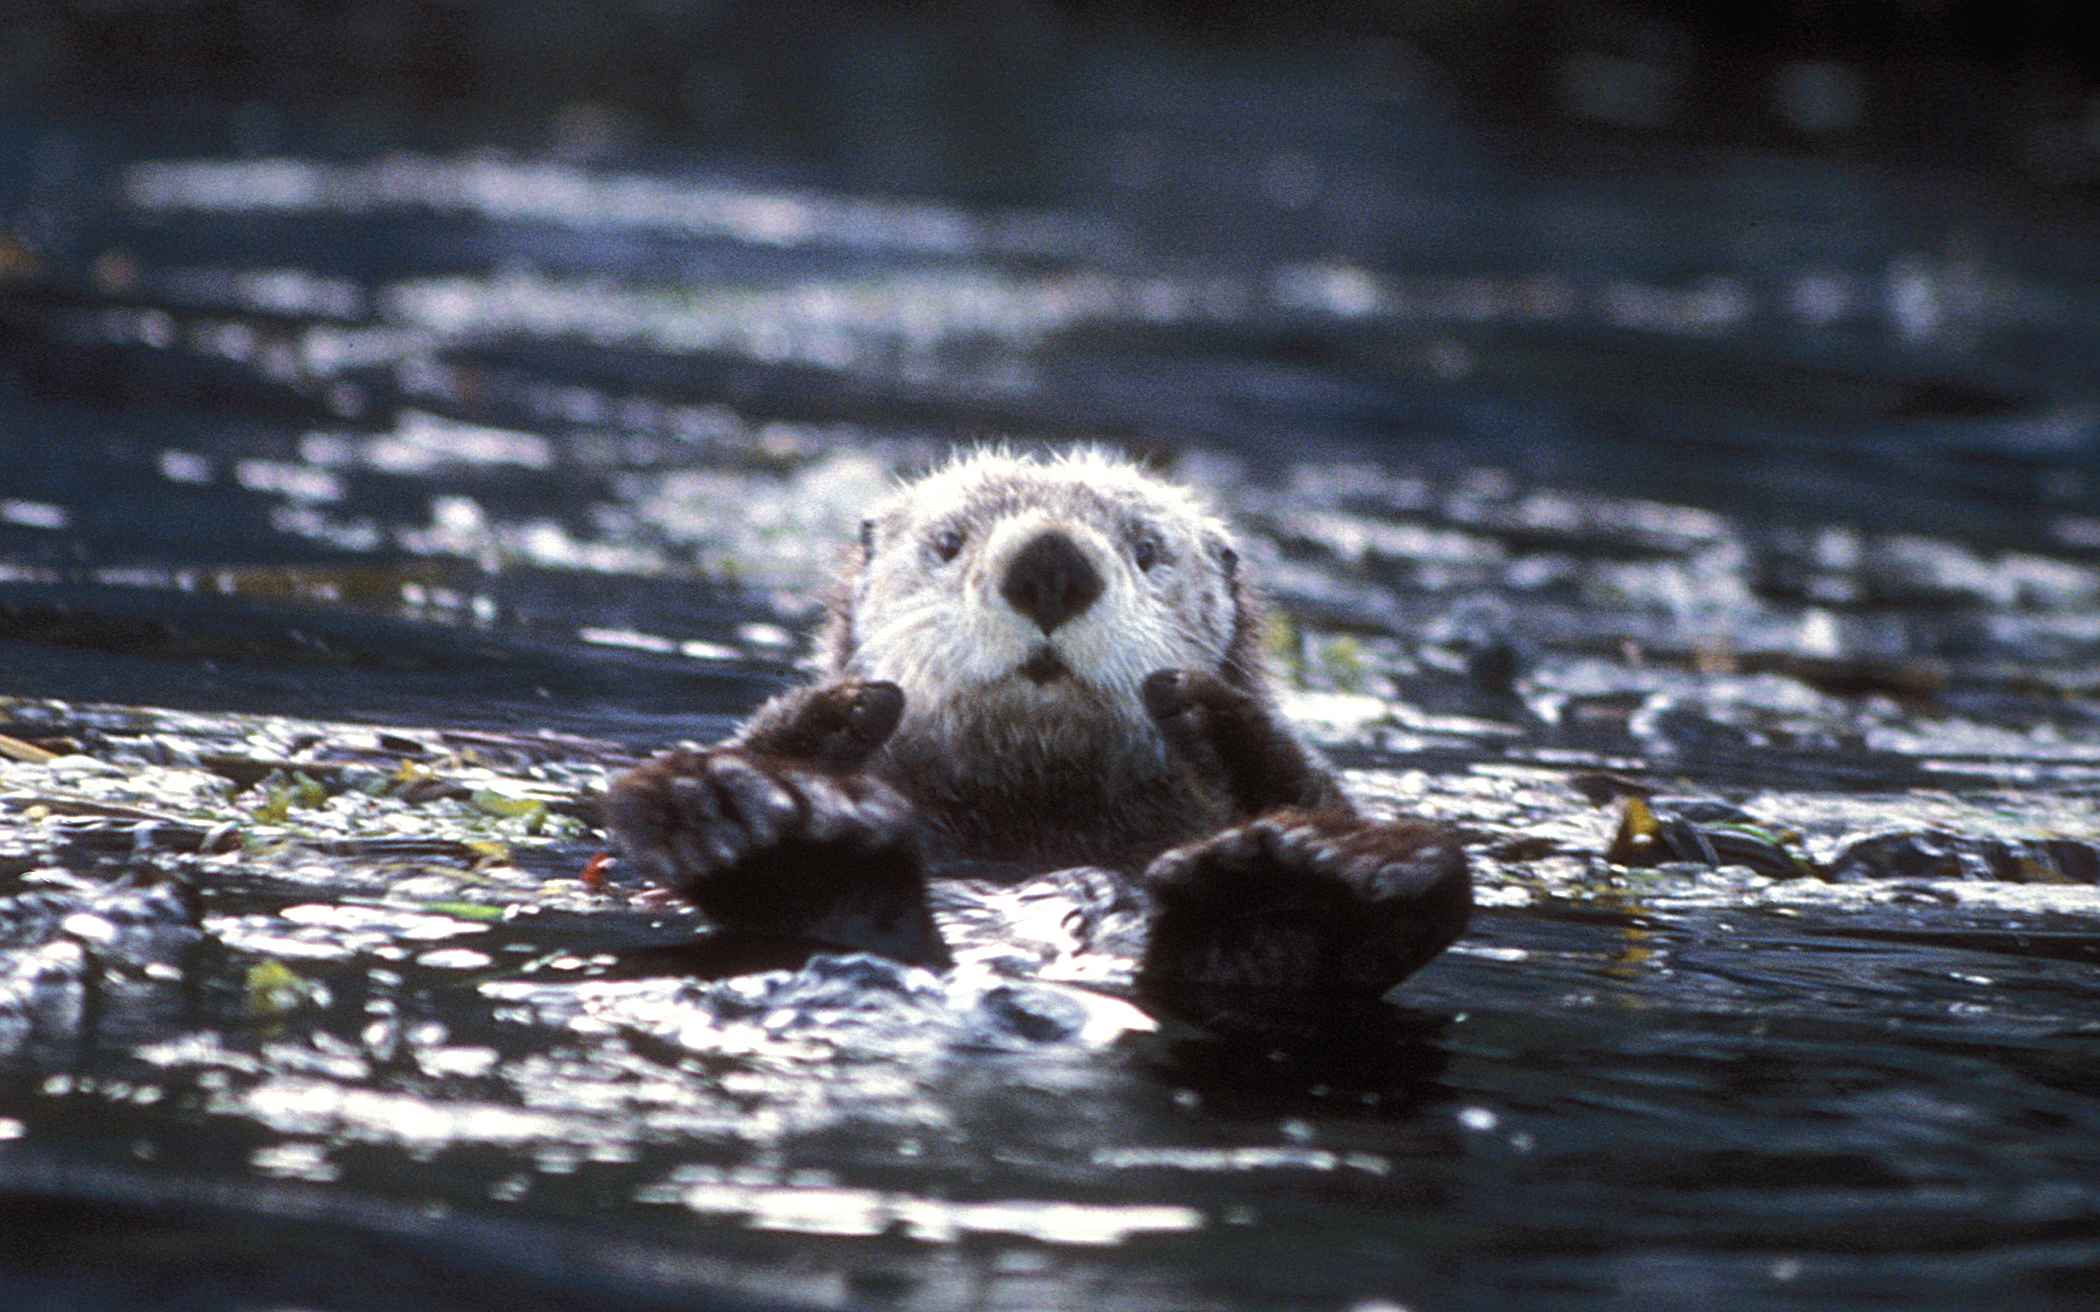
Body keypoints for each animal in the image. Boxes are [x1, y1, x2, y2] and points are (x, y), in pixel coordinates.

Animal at [606, 449, 1469, 1025]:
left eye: (1146, 550)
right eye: (949, 543)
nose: (1051, 561)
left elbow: (1305, 781)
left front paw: (1214, 716)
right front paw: (840, 714)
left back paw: (1301, 884)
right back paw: (760, 821)